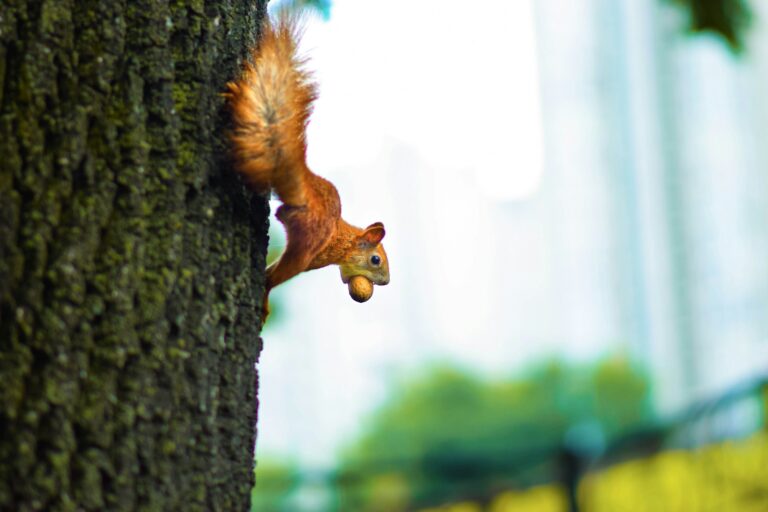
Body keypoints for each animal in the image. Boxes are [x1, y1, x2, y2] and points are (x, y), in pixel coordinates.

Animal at [225, 15, 390, 323]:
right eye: (376, 260)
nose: (385, 282)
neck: (344, 239)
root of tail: (305, 189)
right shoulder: (318, 256)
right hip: (306, 243)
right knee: (276, 276)